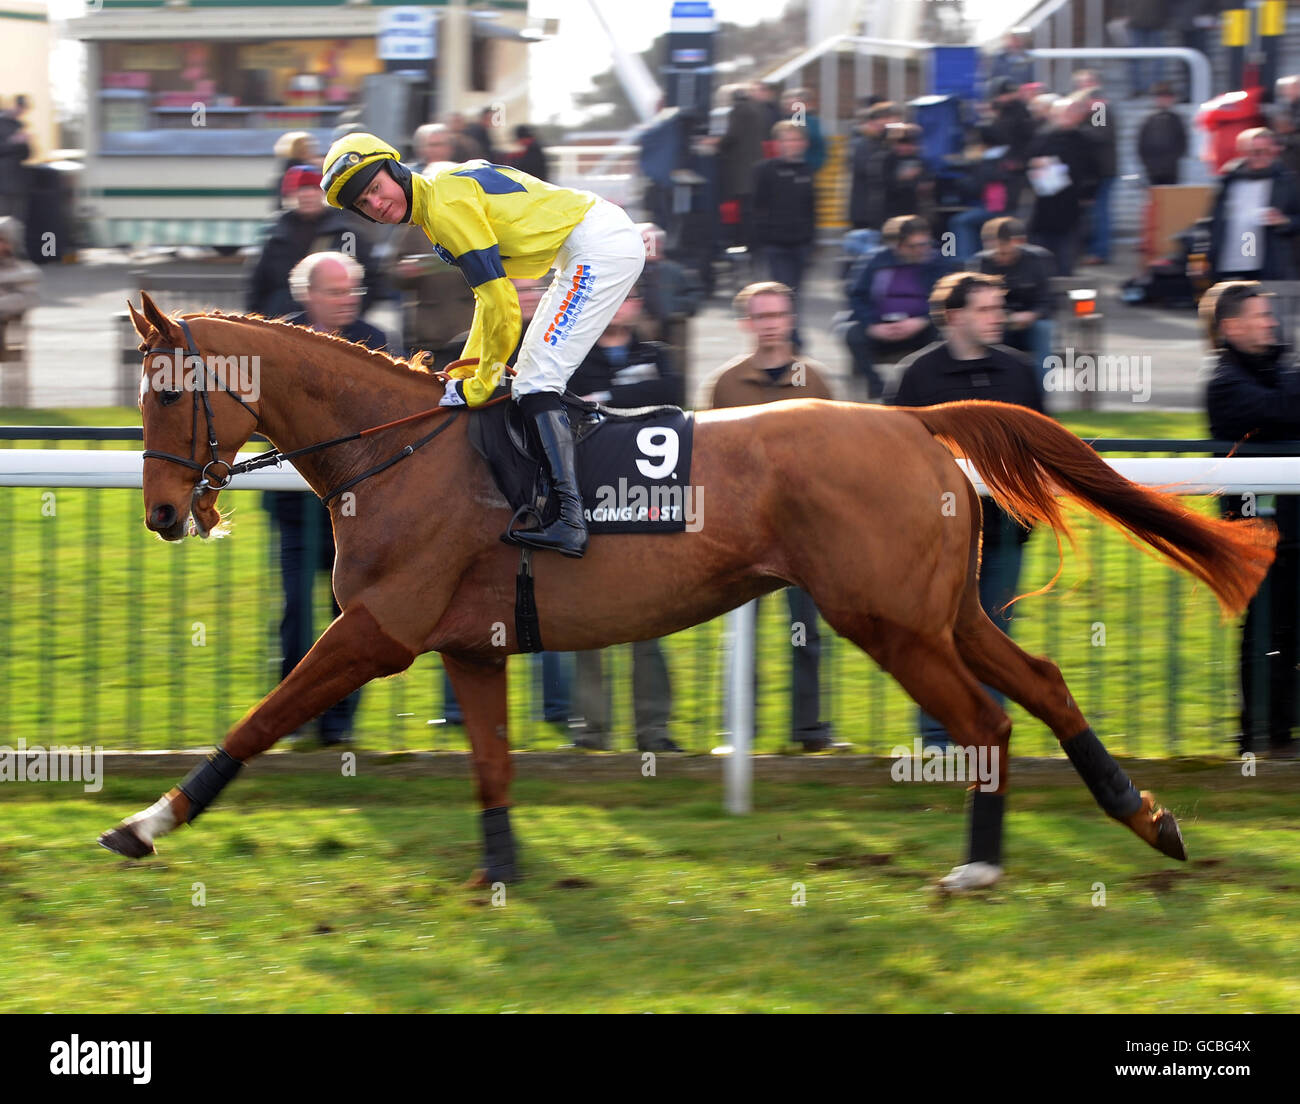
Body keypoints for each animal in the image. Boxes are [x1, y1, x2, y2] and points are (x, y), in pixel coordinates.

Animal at [98, 291, 1268, 879]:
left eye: (164, 392)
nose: (161, 513)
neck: (394, 451)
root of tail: (911, 417)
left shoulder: (378, 628)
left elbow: (259, 719)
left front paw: (147, 823)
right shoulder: (471, 643)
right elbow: (490, 768)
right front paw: (505, 874)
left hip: (887, 622)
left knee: (985, 721)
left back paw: (983, 866)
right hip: (939, 610)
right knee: (1047, 683)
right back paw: (1144, 816)